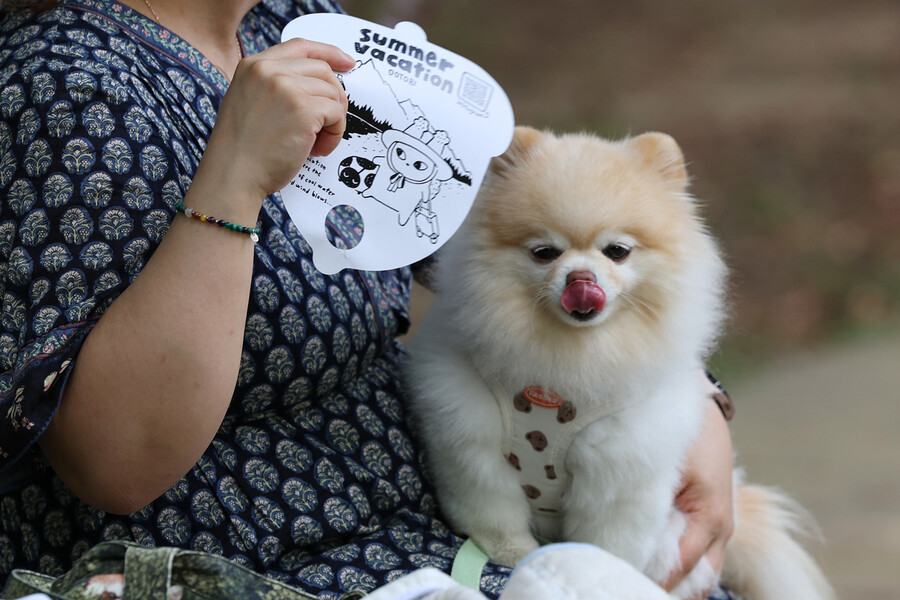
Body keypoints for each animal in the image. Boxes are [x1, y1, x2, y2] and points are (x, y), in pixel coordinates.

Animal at [404, 129, 832, 596]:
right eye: (544, 252)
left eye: (617, 251)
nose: (580, 280)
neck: (567, 358)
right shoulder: (473, 448)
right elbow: (496, 519)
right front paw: (514, 558)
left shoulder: (619, 474)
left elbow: (605, 546)